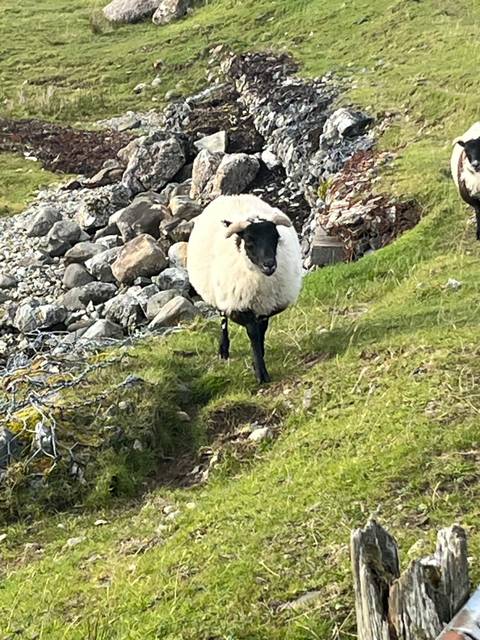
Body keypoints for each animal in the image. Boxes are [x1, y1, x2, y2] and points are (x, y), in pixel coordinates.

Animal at [187, 194, 303, 383]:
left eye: (276, 237)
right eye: (249, 241)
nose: (269, 265)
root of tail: (232, 195)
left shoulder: (265, 307)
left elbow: (262, 332)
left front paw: (259, 359)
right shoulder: (241, 306)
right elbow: (253, 334)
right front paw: (261, 373)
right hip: (221, 296)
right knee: (223, 320)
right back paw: (223, 350)